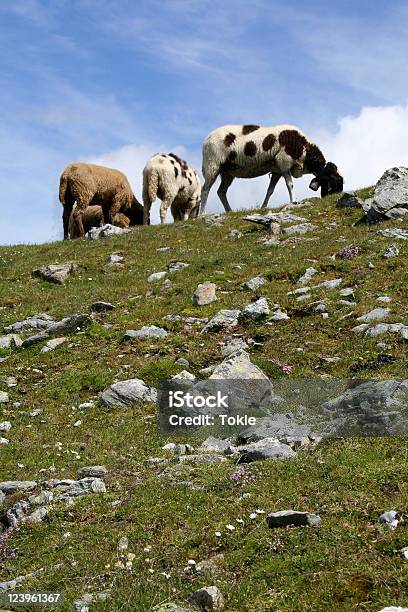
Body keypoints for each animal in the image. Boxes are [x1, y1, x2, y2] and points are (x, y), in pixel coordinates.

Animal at [199, 123, 342, 214]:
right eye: (334, 181)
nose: (337, 196)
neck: (304, 149)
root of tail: (206, 140)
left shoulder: (277, 171)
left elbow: (270, 190)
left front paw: (263, 207)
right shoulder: (284, 163)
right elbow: (290, 185)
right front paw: (294, 201)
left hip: (228, 171)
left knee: (221, 192)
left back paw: (229, 211)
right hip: (212, 165)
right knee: (205, 190)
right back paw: (202, 214)